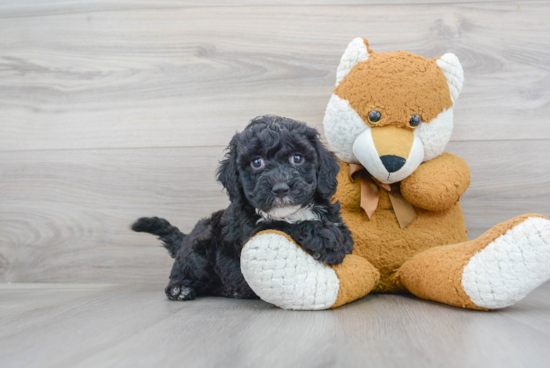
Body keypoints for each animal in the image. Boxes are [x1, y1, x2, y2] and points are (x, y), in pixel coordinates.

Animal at [134, 115, 354, 302]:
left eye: (297, 158)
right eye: (257, 162)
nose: (280, 188)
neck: (293, 212)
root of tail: (185, 238)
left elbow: (343, 232)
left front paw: (339, 239)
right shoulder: (251, 232)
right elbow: (283, 226)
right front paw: (325, 238)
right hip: (198, 252)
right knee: (183, 271)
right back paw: (180, 288)